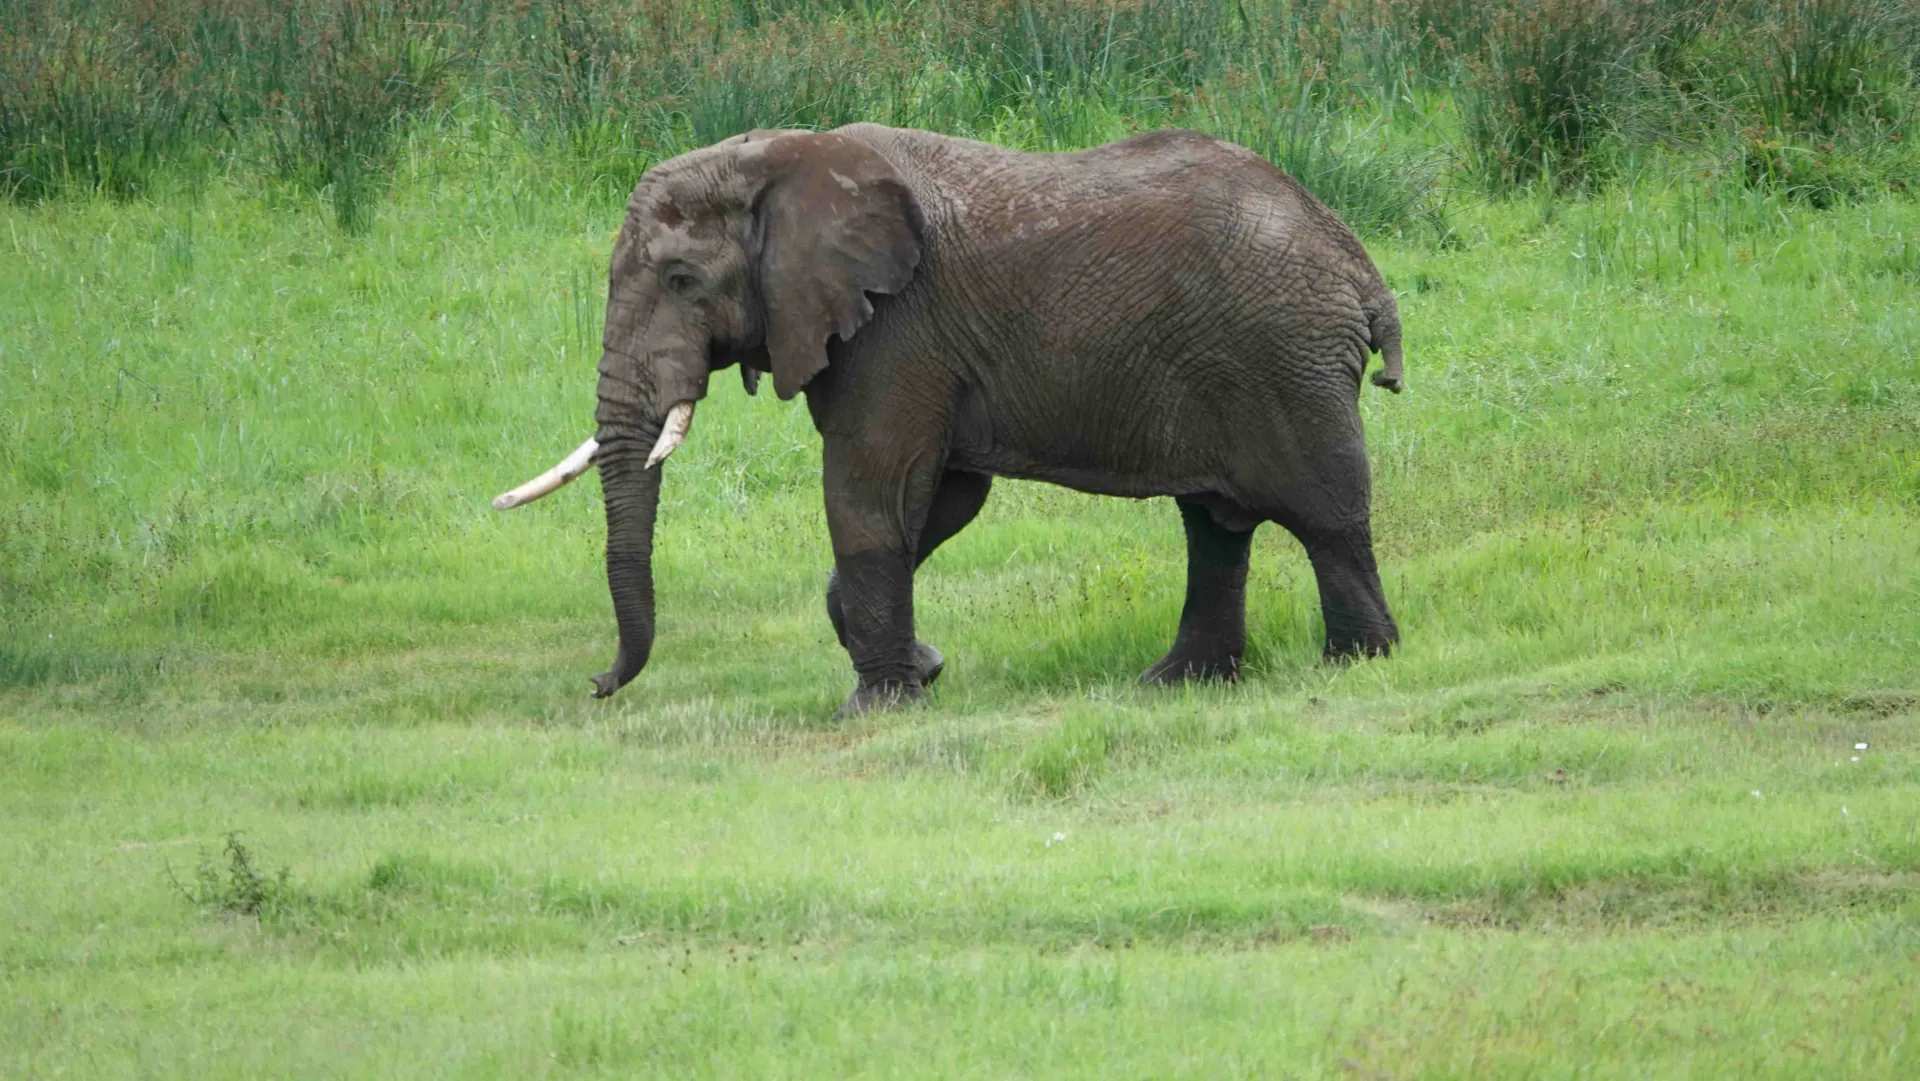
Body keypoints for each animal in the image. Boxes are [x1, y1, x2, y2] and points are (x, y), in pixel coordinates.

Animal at [494, 123, 1405, 716]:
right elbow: (941, 499)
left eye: (682, 280)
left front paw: (875, 707)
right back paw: (1175, 684)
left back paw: (1359, 663)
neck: (778, 157)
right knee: (1214, 525)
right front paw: (922, 669)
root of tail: (1357, 261)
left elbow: (871, 490)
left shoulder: (898, 327)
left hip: (1284, 360)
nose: (596, 685)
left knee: (1323, 516)